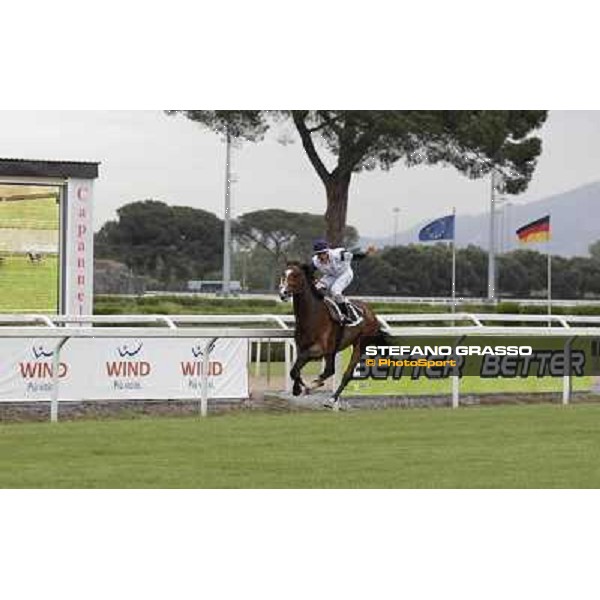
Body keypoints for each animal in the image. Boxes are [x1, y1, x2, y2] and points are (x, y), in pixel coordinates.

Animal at [278, 264, 386, 410]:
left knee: (346, 374)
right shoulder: (303, 348)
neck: (312, 315)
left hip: (359, 345)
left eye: (296, 275)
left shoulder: (318, 350)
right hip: (333, 350)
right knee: (330, 370)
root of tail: (372, 314)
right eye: (284, 274)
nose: (283, 293)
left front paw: (307, 387)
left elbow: (297, 370)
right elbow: (295, 370)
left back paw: (331, 398)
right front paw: (298, 388)